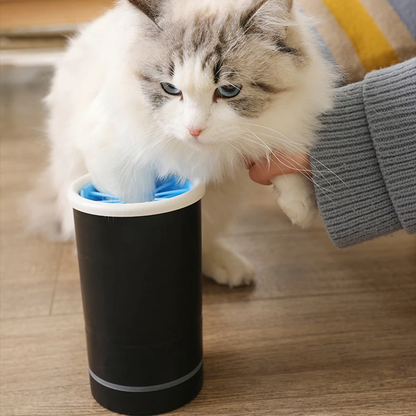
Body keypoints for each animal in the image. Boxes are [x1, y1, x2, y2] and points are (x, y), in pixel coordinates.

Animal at [30, 0, 334, 286]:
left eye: (228, 90)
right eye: (170, 89)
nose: (194, 129)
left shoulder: (280, 121)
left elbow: (279, 154)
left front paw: (301, 207)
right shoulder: (109, 150)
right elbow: (136, 203)